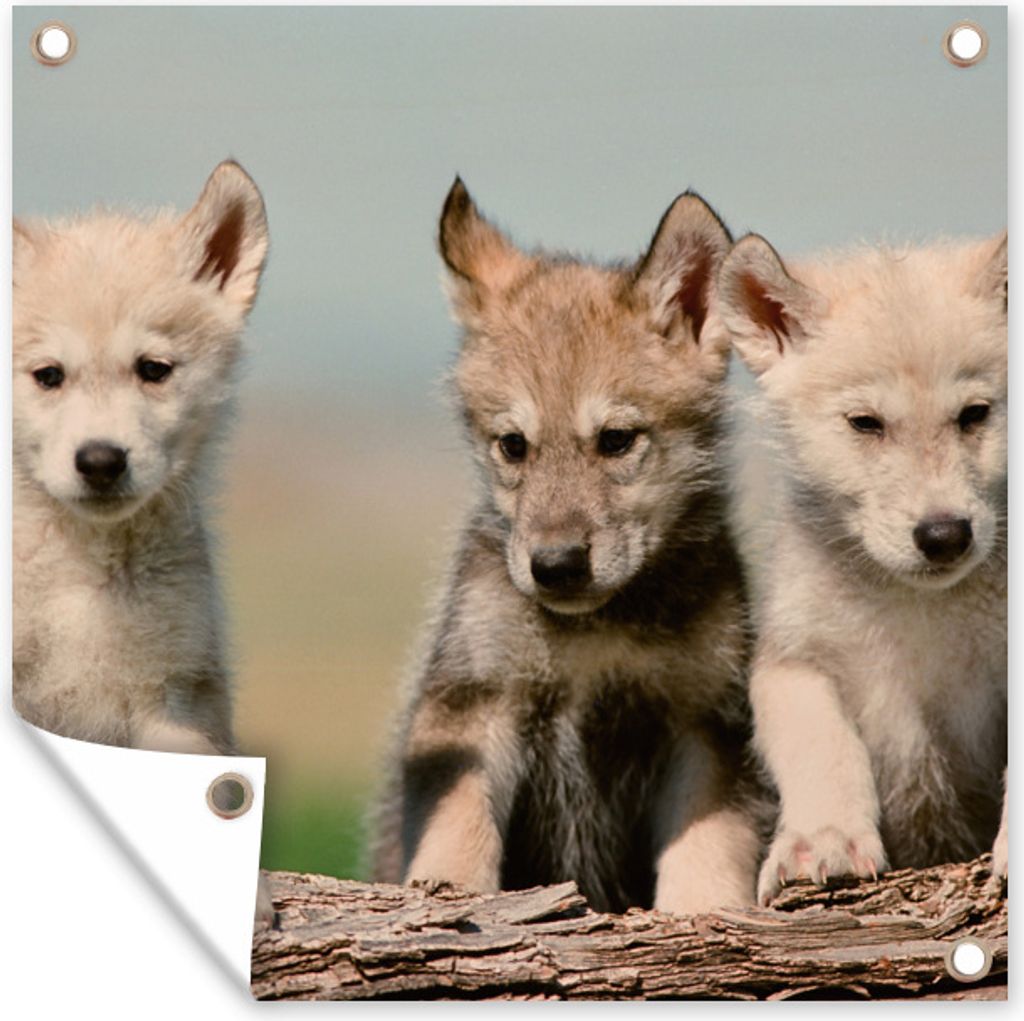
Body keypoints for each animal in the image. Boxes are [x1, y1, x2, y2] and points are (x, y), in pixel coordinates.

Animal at [371, 180, 763, 915]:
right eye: (512, 445)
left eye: (616, 439)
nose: (555, 567)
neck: (595, 633)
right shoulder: (473, 702)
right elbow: (455, 830)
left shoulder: (708, 722)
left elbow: (709, 847)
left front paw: (706, 911)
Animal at [718, 231, 1008, 904]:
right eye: (865, 423)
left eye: (975, 414)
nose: (944, 536)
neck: (918, 606)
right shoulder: (794, 659)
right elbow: (823, 747)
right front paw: (822, 841)